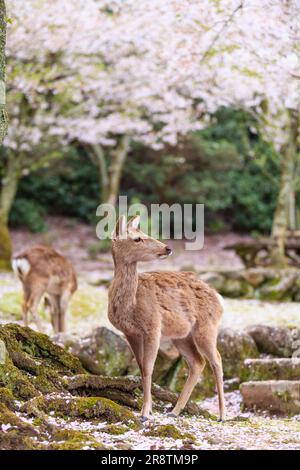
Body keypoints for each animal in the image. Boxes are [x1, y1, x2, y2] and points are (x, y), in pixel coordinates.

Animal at [108, 217, 225, 422]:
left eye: (145, 233)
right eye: (138, 238)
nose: (167, 248)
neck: (131, 305)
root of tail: (219, 298)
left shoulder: (153, 326)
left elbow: (149, 368)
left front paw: (145, 412)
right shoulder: (130, 333)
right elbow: (141, 368)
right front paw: (145, 411)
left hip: (207, 326)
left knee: (216, 359)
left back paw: (222, 415)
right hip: (181, 336)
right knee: (197, 362)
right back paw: (175, 411)